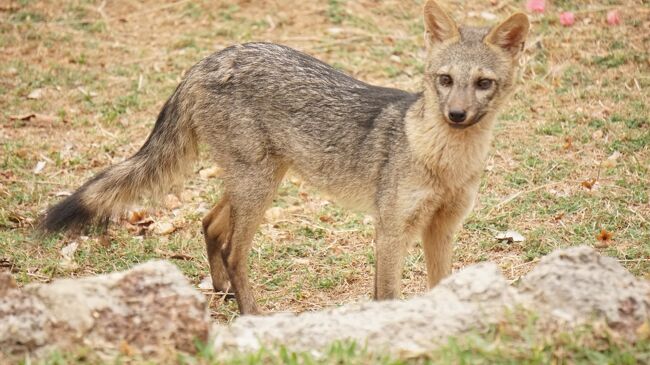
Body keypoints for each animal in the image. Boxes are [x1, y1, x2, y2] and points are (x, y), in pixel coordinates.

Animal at [39, 0, 528, 312]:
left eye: (482, 83)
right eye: (444, 80)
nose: (457, 115)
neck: (445, 162)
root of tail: (210, 59)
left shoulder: (442, 228)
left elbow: (444, 286)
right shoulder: (391, 230)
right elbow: (386, 295)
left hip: (255, 181)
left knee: (210, 223)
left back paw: (222, 294)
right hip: (259, 186)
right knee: (234, 250)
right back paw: (253, 315)